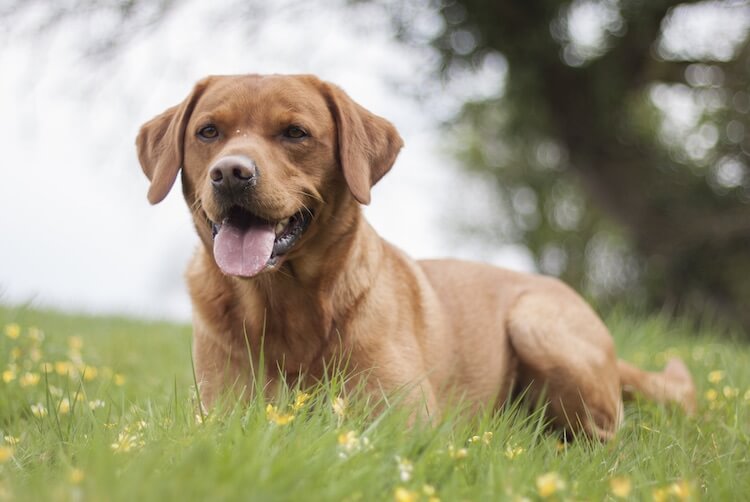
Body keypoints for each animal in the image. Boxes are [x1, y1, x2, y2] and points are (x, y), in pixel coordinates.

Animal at [137, 73, 700, 440]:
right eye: (208, 132)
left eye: (295, 133)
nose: (231, 173)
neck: (286, 306)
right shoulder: (221, 413)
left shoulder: (403, 422)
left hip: (537, 323)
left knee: (606, 439)